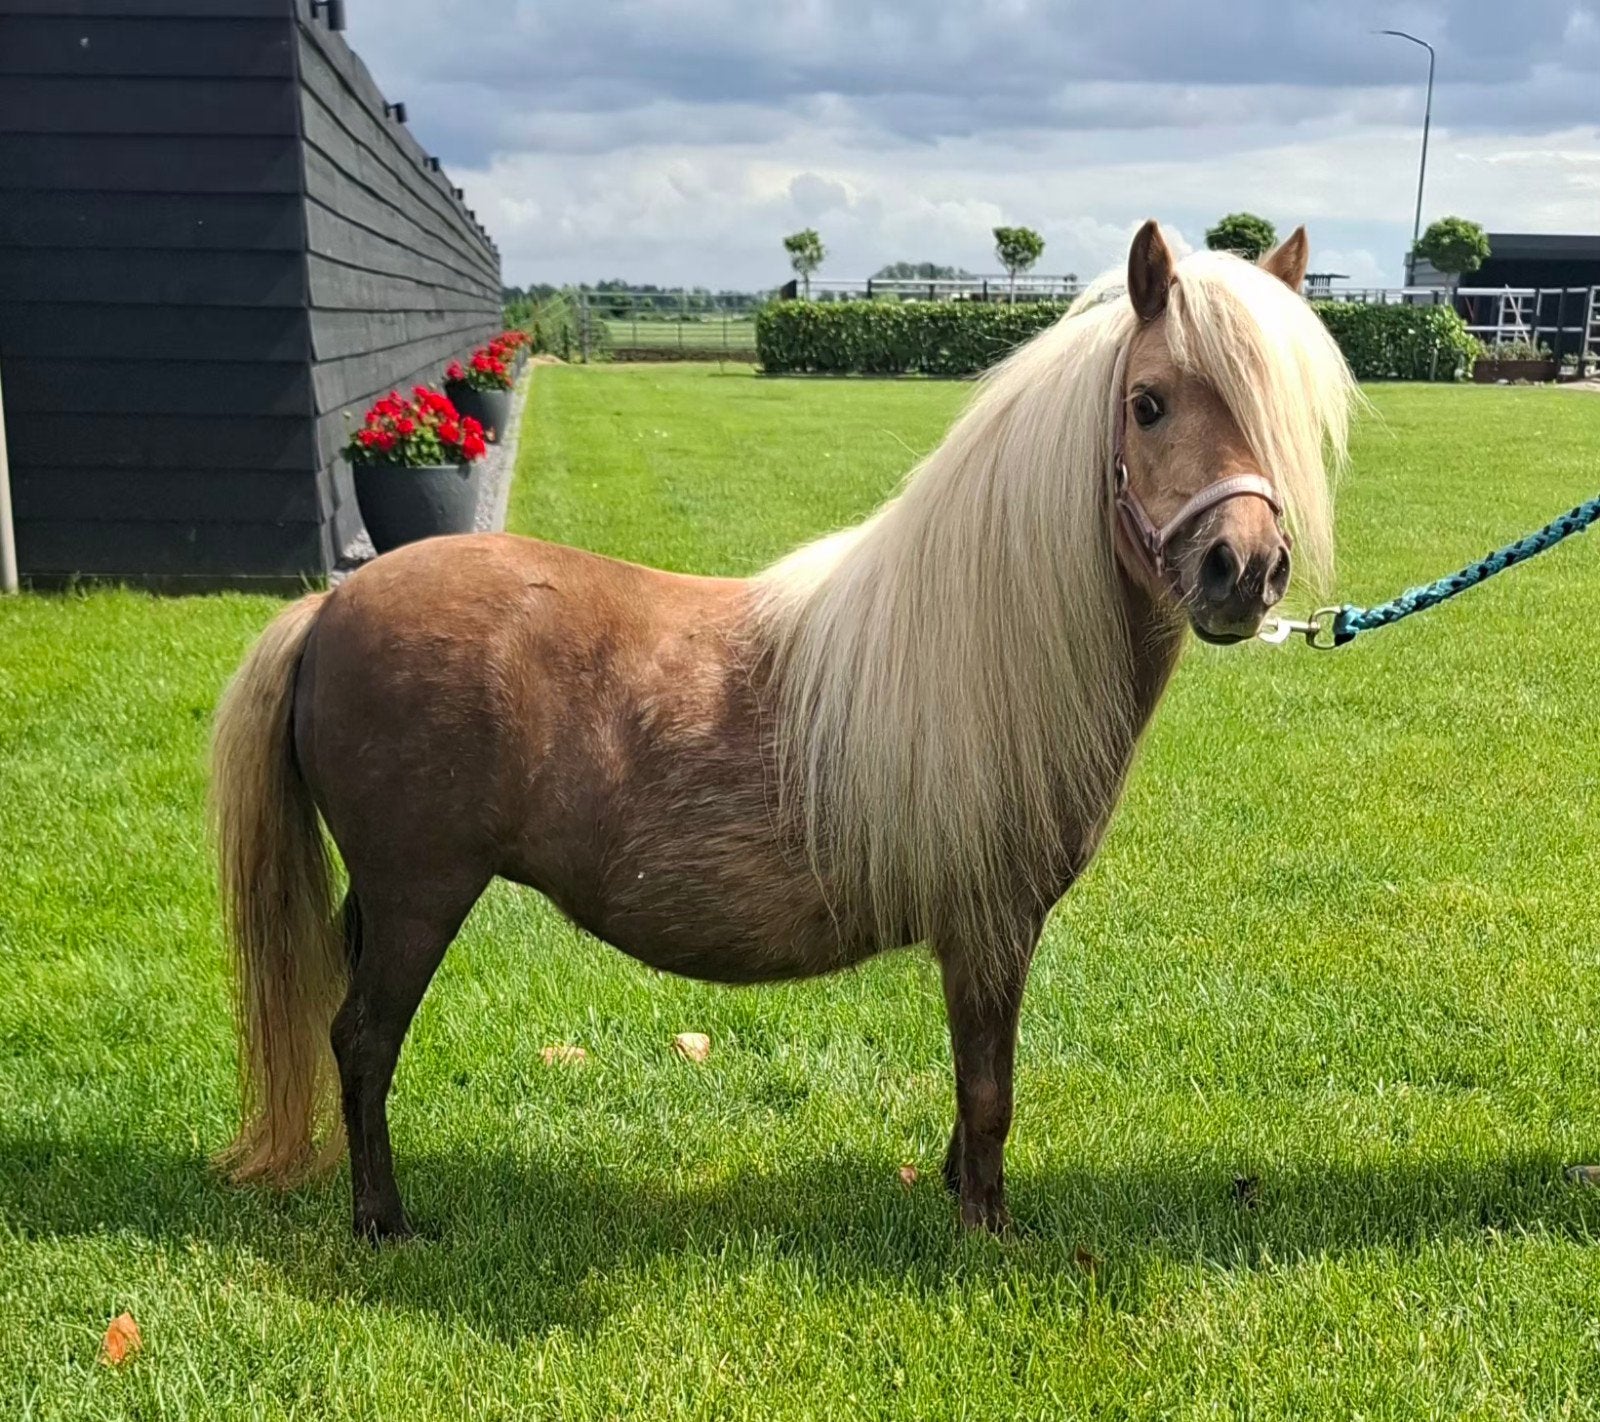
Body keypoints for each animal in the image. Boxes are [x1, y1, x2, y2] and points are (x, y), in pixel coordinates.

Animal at [211, 221, 1355, 1241]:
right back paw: (384, 1223)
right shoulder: (989, 926)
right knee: (362, 1041)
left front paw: (955, 1192)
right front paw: (986, 1233)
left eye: (1288, 417)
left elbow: (974, 1081)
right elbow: (990, 1089)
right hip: (421, 896)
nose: (1244, 571)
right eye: (1147, 404)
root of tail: (329, 607)